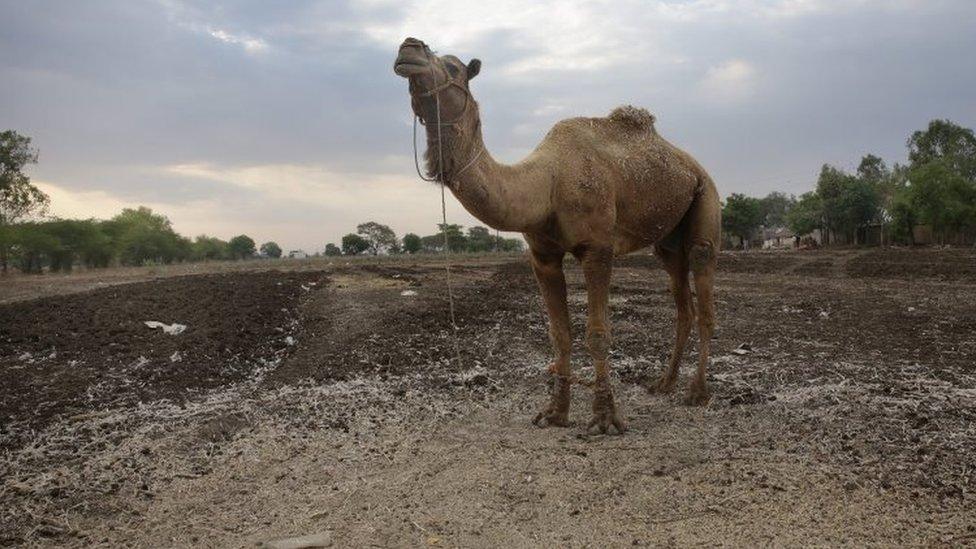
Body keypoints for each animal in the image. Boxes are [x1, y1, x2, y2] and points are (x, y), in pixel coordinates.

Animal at [392, 38, 720, 432]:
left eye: (453, 66)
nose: (409, 47)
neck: (546, 182)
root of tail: (692, 165)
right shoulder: (542, 255)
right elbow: (559, 334)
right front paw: (555, 413)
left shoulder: (598, 248)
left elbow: (598, 334)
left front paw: (605, 417)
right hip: (668, 240)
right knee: (680, 297)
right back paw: (664, 383)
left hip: (706, 198)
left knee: (703, 287)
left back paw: (697, 392)